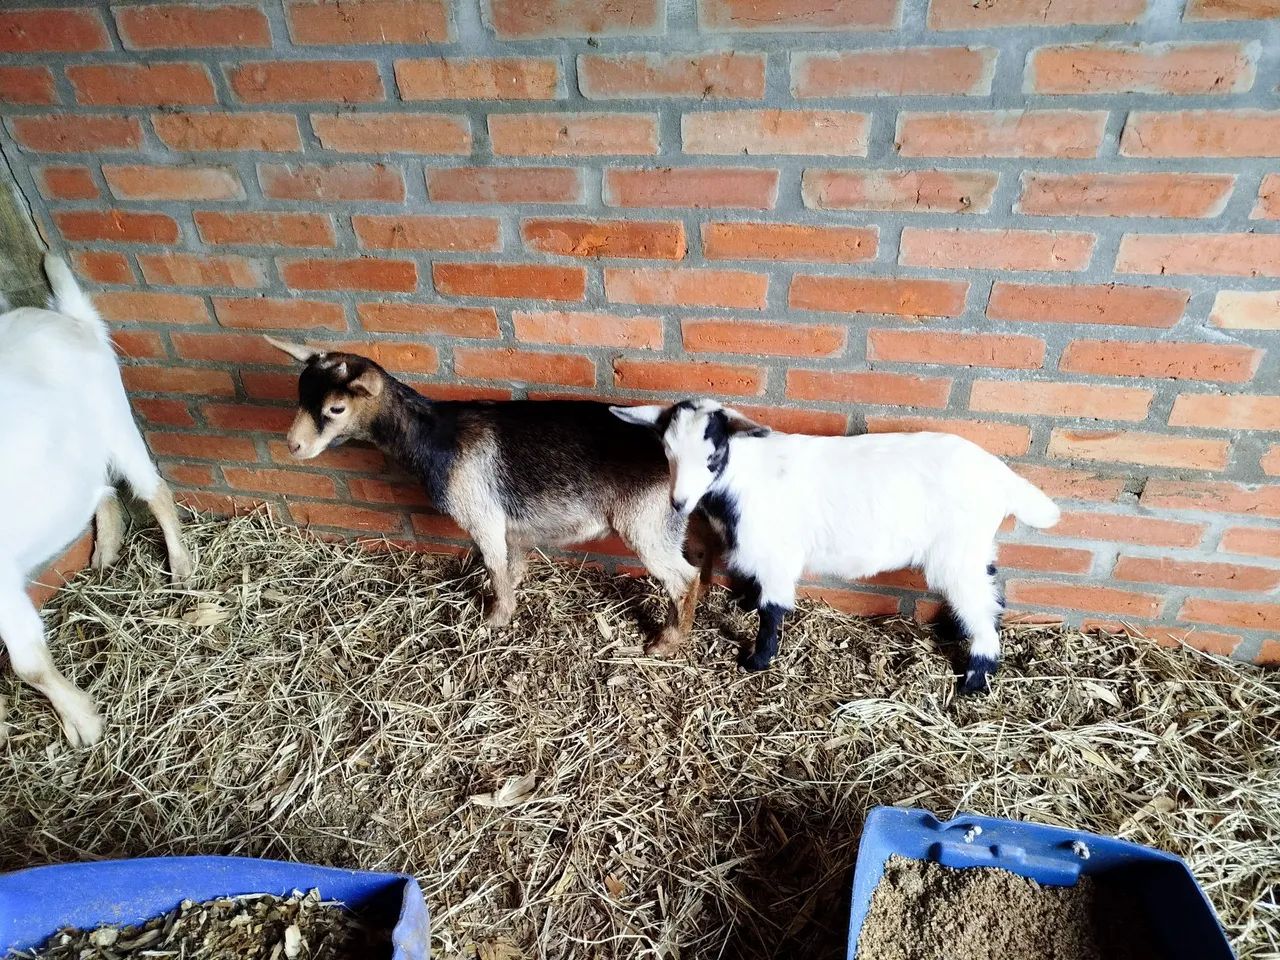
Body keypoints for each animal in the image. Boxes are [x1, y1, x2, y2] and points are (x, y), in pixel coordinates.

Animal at [0, 256, 191, 745]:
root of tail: (70, 318)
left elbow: (28, 663)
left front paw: (84, 725)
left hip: (114, 417)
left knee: (152, 488)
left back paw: (182, 567)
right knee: (98, 488)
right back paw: (105, 552)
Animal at [266, 338, 702, 649]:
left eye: (336, 408)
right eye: (301, 395)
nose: (293, 445)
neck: (435, 435)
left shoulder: (482, 516)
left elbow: (492, 565)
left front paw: (496, 618)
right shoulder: (511, 524)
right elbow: (511, 562)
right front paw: (514, 587)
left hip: (647, 523)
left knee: (686, 578)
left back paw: (665, 643)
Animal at [611, 398, 1060, 693]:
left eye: (714, 453)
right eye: (666, 451)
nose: (679, 503)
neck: (742, 476)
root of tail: (1002, 477)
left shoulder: (778, 553)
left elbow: (773, 608)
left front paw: (757, 660)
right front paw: (743, 606)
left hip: (958, 551)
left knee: (981, 604)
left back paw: (975, 677)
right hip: (973, 549)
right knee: (992, 595)